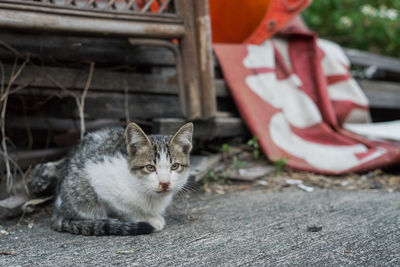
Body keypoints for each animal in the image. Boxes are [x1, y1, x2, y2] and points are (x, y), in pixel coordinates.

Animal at [50, 122, 193, 236]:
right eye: (150, 167)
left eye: (174, 166)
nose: (164, 183)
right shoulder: (99, 178)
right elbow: (124, 208)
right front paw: (146, 218)